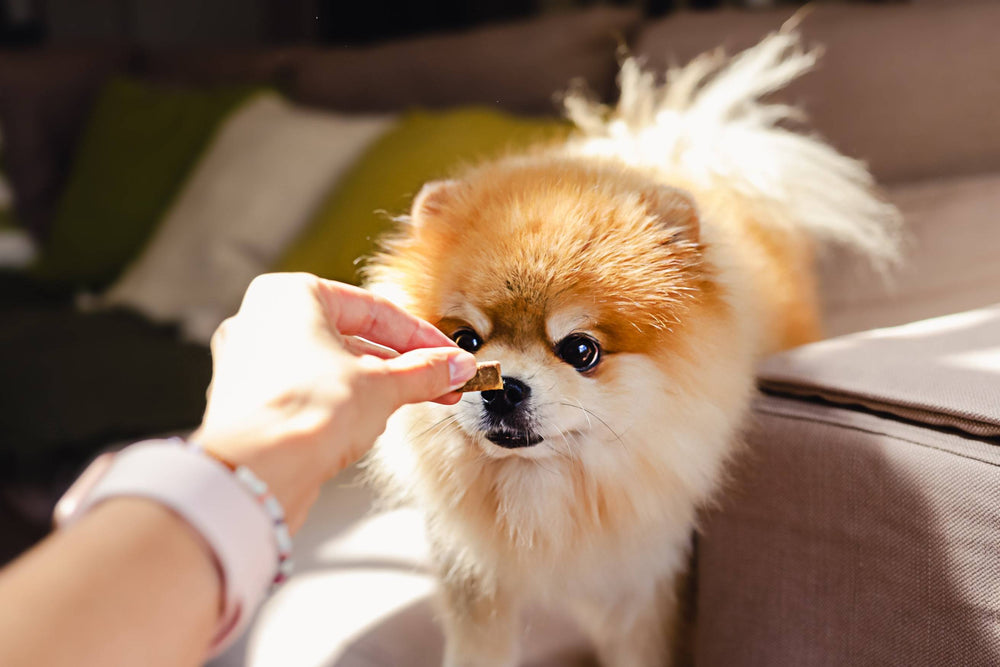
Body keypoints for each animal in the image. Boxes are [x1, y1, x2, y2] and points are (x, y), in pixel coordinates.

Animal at [360, 28, 900, 664]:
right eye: (465, 341)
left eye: (581, 351)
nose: (502, 389)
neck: (547, 492)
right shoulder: (476, 588)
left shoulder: (648, 583)